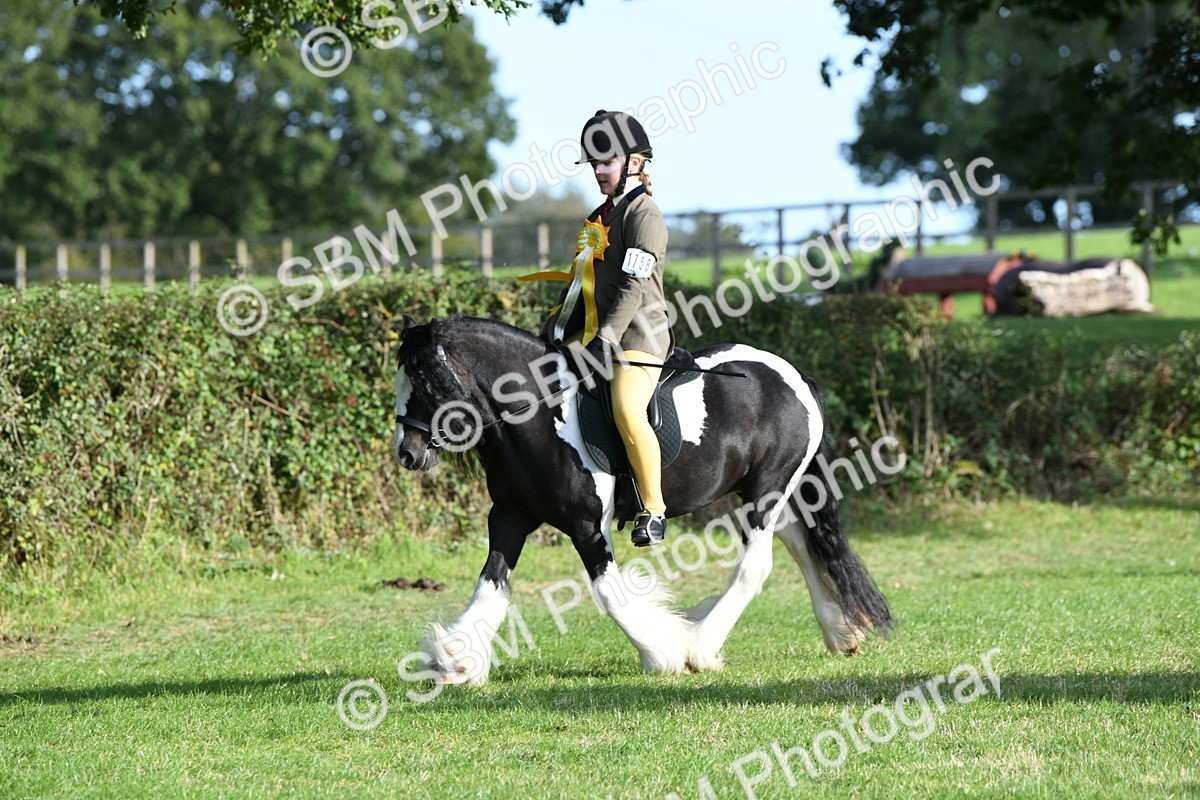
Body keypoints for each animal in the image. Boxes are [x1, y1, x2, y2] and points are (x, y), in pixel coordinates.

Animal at [392, 315, 894, 684]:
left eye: (424, 383)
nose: (407, 453)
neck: (541, 413)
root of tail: (794, 376)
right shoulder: (510, 518)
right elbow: (490, 585)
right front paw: (456, 660)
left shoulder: (587, 526)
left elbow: (609, 594)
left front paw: (663, 653)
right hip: (767, 492)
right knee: (802, 543)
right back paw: (841, 633)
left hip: (766, 490)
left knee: (756, 565)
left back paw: (700, 646)